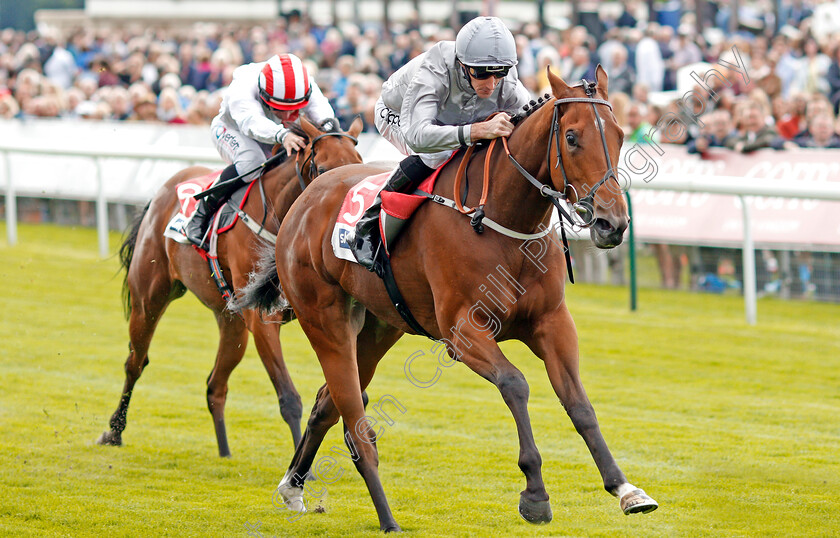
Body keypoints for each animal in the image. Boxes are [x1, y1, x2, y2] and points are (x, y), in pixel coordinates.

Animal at [96, 115, 364, 454]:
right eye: (323, 167)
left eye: (359, 163)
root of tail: (162, 191)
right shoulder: (263, 319)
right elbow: (289, 397)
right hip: (149, 299)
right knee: (136, 362)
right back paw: (114, 430)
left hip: (232, 323)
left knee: (215, 385)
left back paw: (224, 452)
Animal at [235, 67, 656, 528]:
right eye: (573, 137)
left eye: (619, 135)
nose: (611, 223)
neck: (501, 219)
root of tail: (302, 203)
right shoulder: (463, 331)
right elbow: (515, 383)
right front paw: (535, 493)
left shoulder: (552, 322)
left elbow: (579, 403)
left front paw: (625, 488)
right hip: (324, 322)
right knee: (355, 418)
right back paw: (386, 517)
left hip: (377, 329)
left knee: (327, 404)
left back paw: (293, 487)